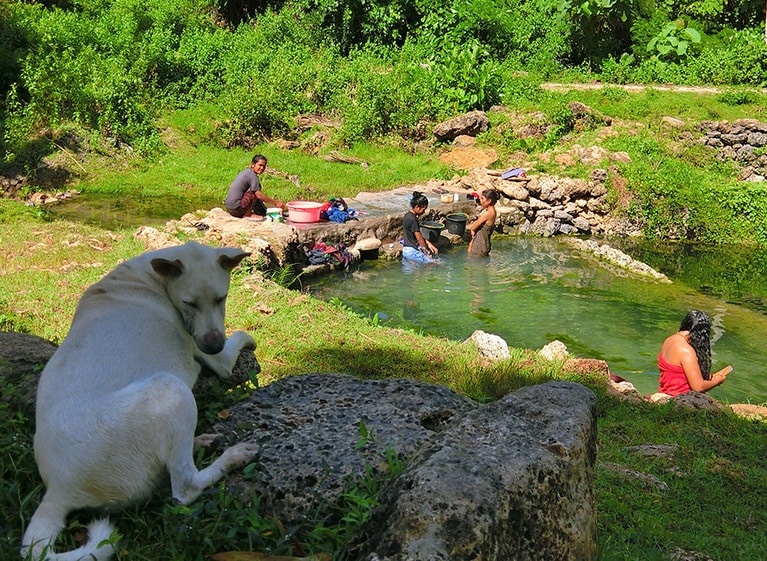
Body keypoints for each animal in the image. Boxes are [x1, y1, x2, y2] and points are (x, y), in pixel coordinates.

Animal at [21, 242, 260, 560]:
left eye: (221, 298)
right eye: (189, 303)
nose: (213, 344)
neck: (151, 277)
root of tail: (58, 490)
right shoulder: (218, 359)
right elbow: (241, 337)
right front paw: (248, 339)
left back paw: (200, 441)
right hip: (171, 389)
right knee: (185, 486)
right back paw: (232, 457)